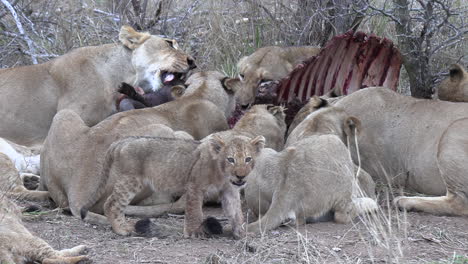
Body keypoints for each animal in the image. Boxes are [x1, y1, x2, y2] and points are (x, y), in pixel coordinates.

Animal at [79, 133, 266, 238]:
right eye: (231, 159)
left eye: (248, 159)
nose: (240, 176)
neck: (222, 175)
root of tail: (122, 141)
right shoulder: (194, 186)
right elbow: (194, 212)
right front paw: (193, 232)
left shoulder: (229, 191)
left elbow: (236, 212)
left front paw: (241, 233)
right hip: (130, 180)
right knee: (111, 203)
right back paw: (122, 229)